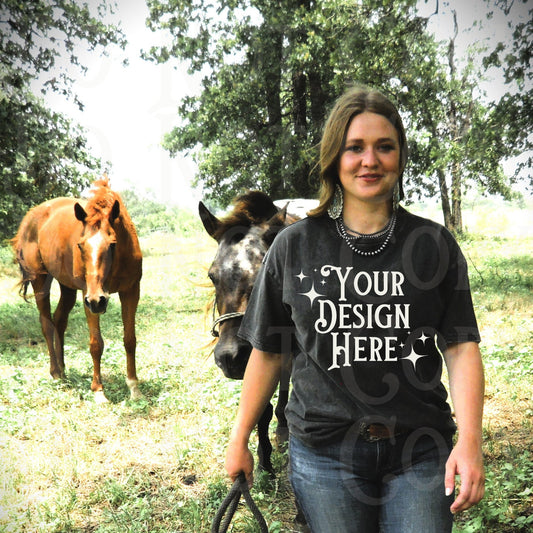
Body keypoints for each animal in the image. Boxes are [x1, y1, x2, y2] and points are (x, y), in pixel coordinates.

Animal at [12, 177, 141, 402]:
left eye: (112, 244)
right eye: (81, 245)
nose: (98, 300)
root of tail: (30, 217)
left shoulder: (131, 291)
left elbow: (129, 340)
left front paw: (133, 387)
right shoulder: (88, 297)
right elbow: (96, 344)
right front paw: (98, 391)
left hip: (68, 287)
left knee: (59, 320)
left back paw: (63, 370)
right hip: (41, 281)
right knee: (46, 323)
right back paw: (55, 372)